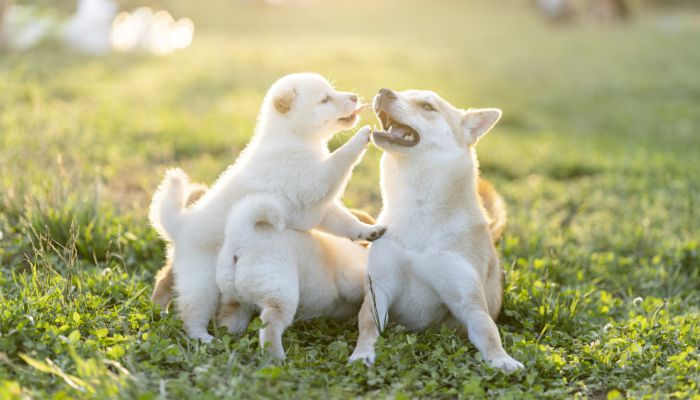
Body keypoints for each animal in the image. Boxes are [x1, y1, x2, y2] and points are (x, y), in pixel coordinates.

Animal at [150, 73, 386, 342]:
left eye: (332, 92)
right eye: (325, 99)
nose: (355, 97)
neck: (292, 137)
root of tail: (181, 225)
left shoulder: (318, 208)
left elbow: (346, 222)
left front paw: (369, 231)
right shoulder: (315, 179)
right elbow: (339, 159)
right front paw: (361, 138)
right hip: (202, 280)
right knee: (192, 311)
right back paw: (203, 337)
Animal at [348, 87, 524, 372]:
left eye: (428, 106)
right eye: (403, 92)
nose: (385, 91)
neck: (418, 210)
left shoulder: (469, 303)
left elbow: (489, 331)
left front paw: (501, 359)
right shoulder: (379, 290)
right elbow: (367, 324)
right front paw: (362, 353)